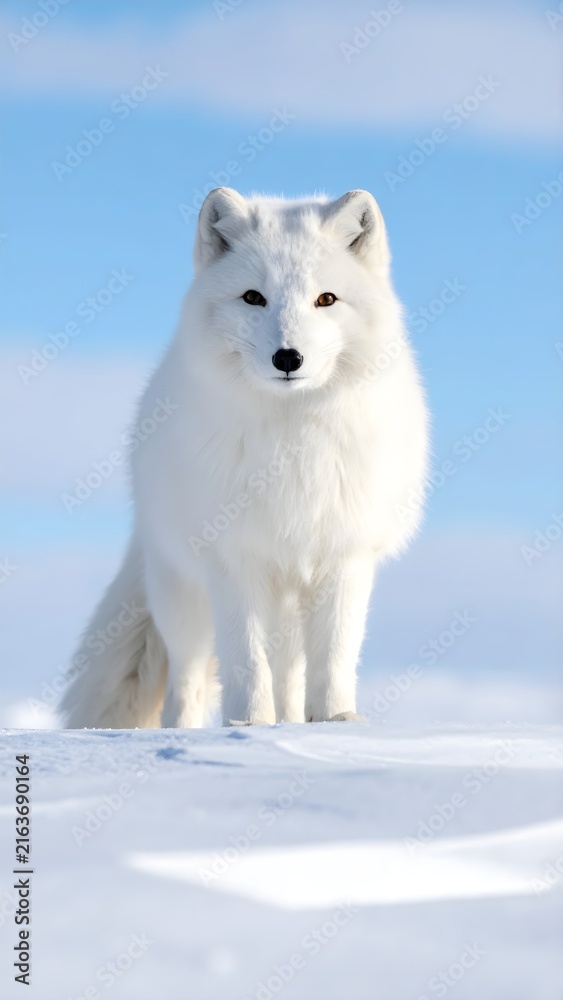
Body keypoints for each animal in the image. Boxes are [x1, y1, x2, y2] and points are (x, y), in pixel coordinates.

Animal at [61, 187, 428, 729]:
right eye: (254, 297)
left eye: (326, 299)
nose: (288, 358)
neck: (293, 443)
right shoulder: (233, 558)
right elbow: (245, 660)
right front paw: (249, 725)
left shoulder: (344, 555)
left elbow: (334, 654)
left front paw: (335, 721)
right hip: (182, 595)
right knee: (188, 680)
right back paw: (188, 731)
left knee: (290, 674)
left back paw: (292, 722)